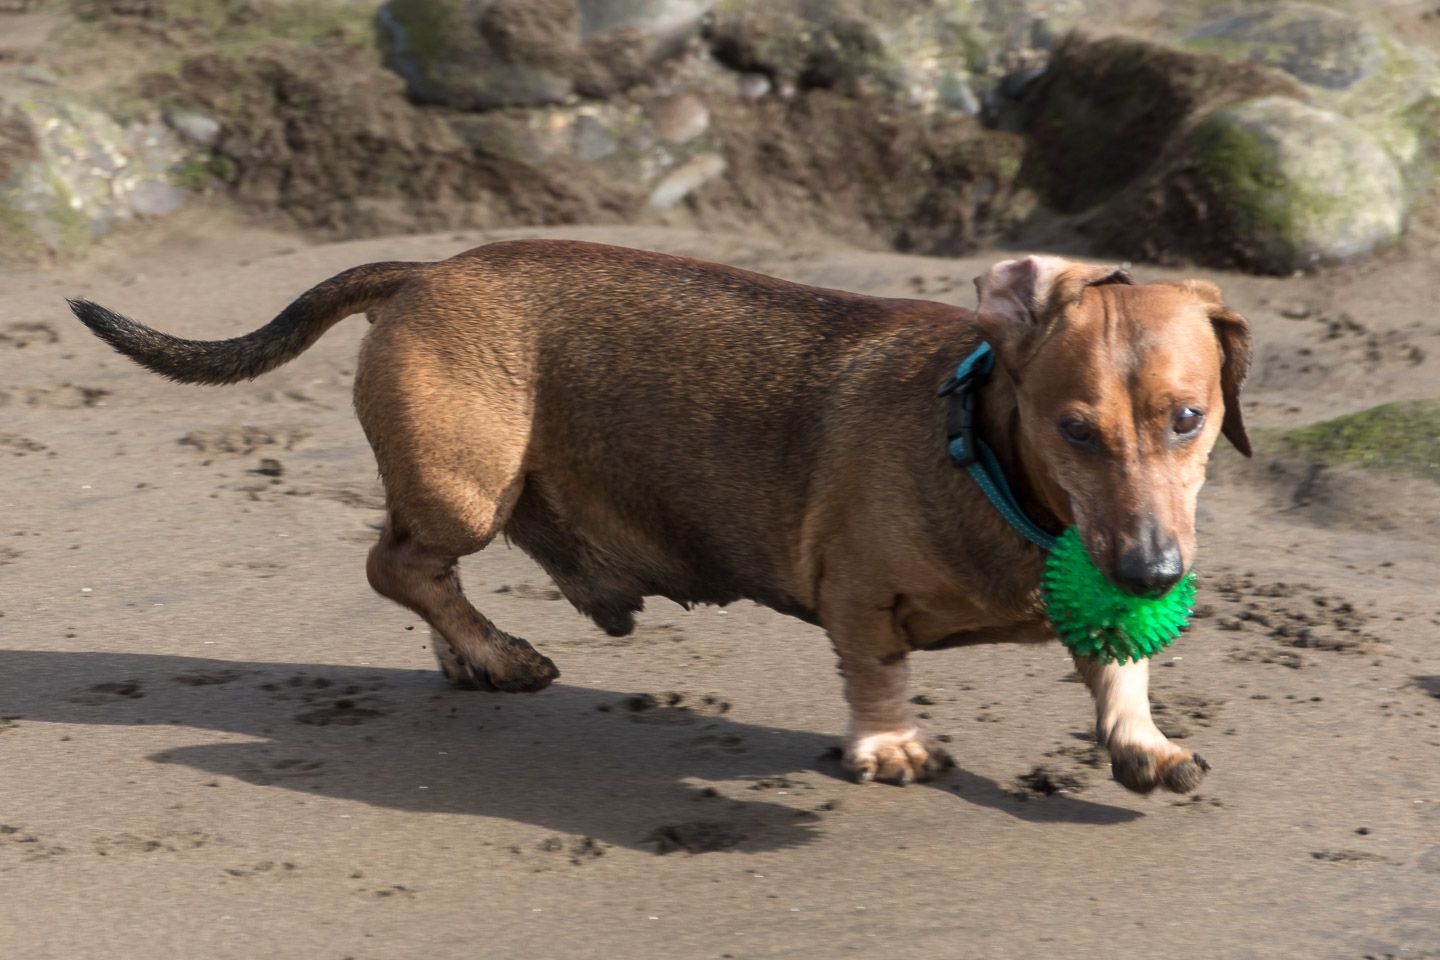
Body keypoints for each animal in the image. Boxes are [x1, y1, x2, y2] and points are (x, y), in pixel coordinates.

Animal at [67, 241, 1244, 794]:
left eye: (1188, 419)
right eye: (1072, 429)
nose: (1151, 572)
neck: (986, 465)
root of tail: (429, 268)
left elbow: (1118, 677)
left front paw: (1144, 743)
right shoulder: (859, 590)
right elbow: (875, 670)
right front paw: (888, 744)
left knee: (422, 576)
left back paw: (472, 653)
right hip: (465, 488)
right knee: (397, 565)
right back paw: (496, 653)